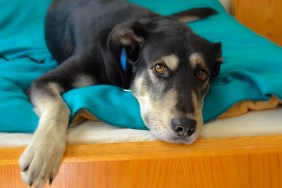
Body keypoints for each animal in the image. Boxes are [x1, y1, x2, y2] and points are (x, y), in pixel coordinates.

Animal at [19, 0, 223, 187]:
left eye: (202, 73)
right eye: (159, 68)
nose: (186, 127)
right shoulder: (41, 82)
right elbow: (59, 107)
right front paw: (44, 152)